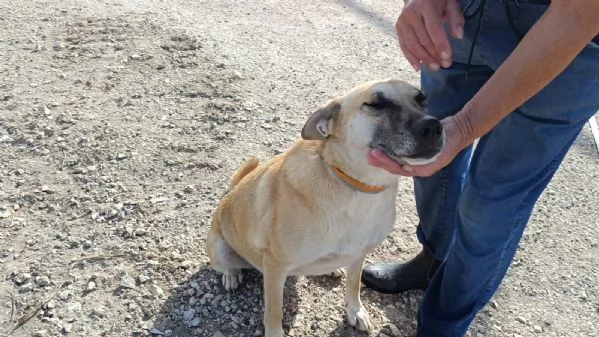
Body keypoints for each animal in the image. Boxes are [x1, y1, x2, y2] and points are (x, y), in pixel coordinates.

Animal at [206, 79, 446, 336]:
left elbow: (353, 285)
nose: (433, 126)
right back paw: (232, 274)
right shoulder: (274, 266)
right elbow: (274, 311)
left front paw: (355, 311)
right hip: (220, 252)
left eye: (422, 100)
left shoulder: (359, 254)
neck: (357, 188)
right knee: (228, 265)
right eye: (376, 104)